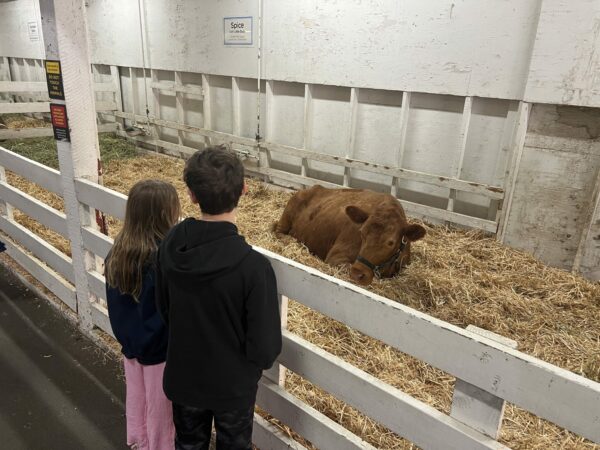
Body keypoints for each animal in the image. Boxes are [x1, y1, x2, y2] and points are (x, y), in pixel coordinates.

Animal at [275, 185, 426, 285]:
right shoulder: (336, 257)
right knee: (277, 231)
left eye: (391, 242)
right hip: (286, 218)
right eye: (362, 233)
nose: (357, 273)